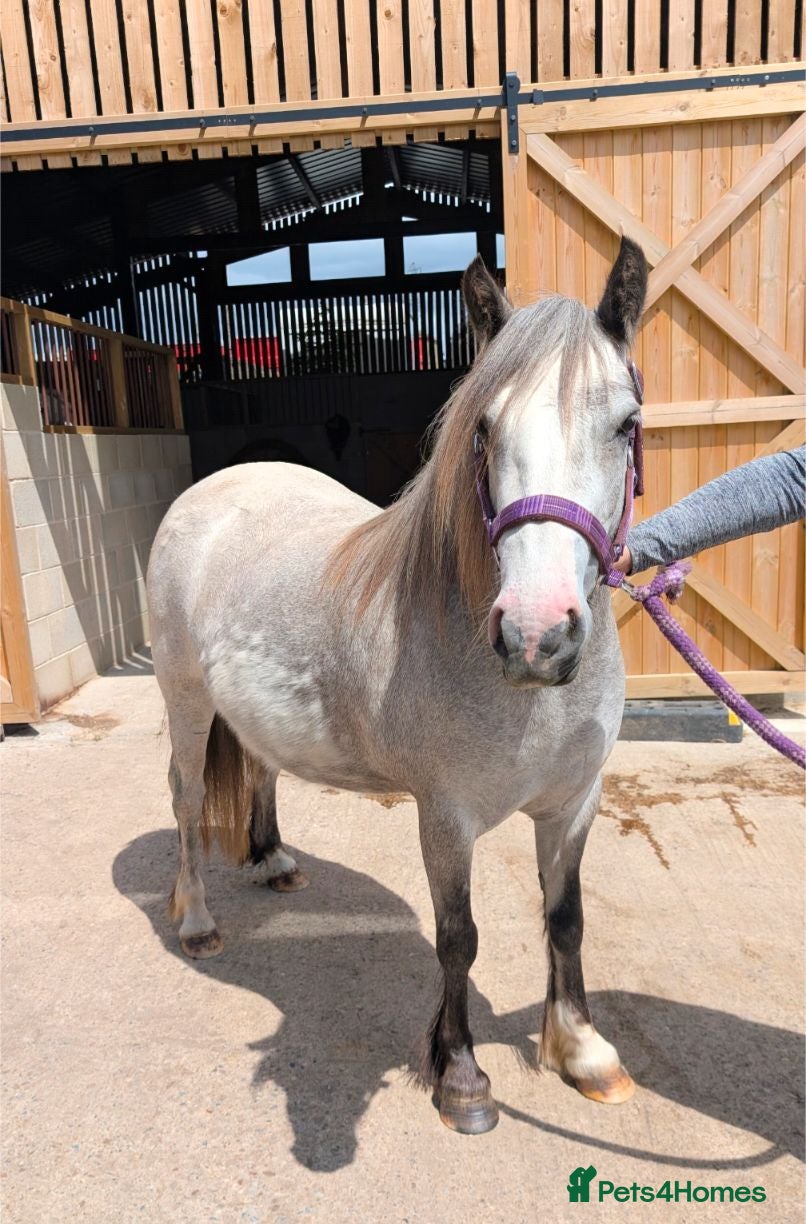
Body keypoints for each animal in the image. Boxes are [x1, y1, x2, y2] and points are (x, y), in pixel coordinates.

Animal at [147, 236, 649, 1135]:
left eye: (625, 426)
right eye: (483, 429)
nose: (536, 634)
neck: (533, 699)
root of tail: (212, 489)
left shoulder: (574, 804)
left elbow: (566, 919)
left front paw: (583, 1052)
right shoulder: (445, 817)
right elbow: (460, 937)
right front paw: (463, 1078)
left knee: (259, 765)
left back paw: (273, 860)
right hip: (185, 701)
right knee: (186, 799)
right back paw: (198, 921)